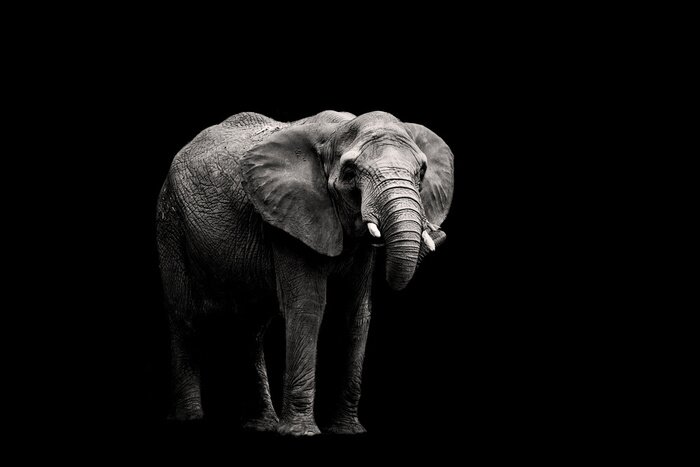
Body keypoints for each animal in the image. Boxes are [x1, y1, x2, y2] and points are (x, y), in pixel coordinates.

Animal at [156, 110, 454, 436]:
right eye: (350, 172)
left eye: (421, 172)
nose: (437, 233)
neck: (336, 131)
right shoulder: (289, 217)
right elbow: (306, 307)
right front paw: (301, 433)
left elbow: (356, 312)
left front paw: (347, 430)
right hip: (169, 222)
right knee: (184, 316)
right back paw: (190, 419)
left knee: (251, 327)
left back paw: (262, 425)